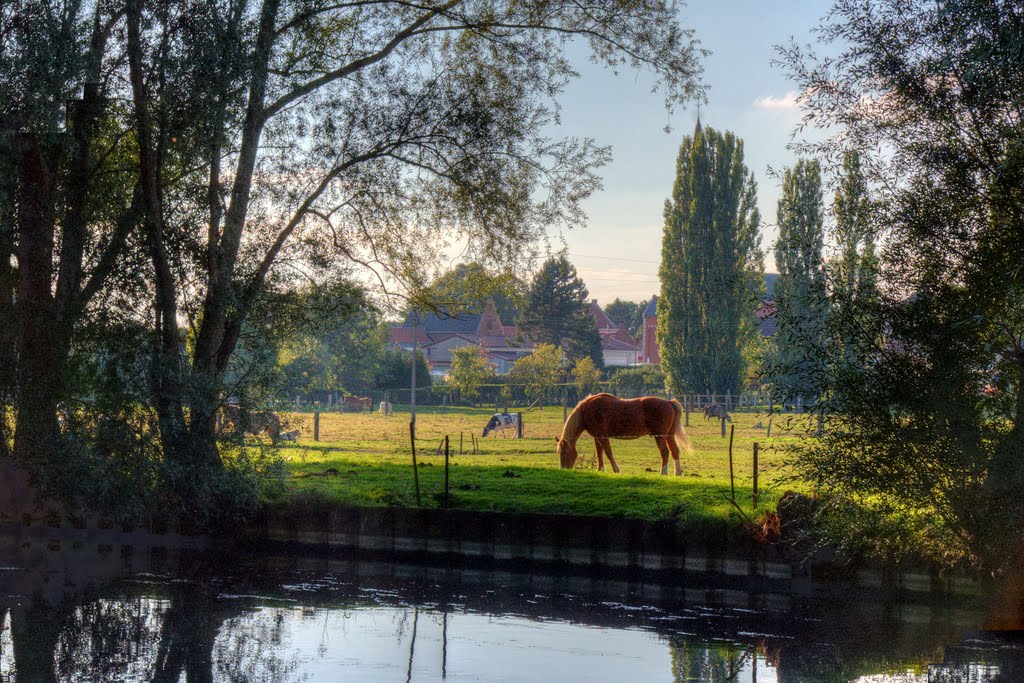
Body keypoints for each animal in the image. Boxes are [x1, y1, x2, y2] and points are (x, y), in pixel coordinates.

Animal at [557, 395, 692, 475]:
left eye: (565, 452)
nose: (564, 469)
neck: (587, 410)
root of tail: (669, 402)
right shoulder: (597, 437)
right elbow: (600, 453)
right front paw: (600, 469)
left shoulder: (602, 436)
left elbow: (608, 452)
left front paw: (616, 469)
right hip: (669, 435)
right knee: (675, 451)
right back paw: (678, 472)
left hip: (659, 436)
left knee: (665, 452)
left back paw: (663, 472)